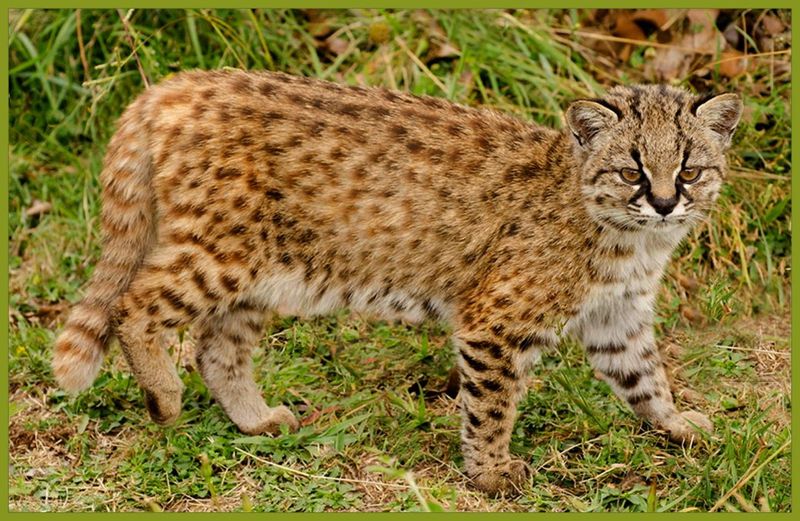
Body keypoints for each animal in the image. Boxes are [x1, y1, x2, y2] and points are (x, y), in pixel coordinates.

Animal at [51, 69, 744, 492]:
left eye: (688, 168)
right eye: (632, 170)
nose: (664, 203)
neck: (630, 237)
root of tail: (181, 80)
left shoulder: (616, 316)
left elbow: (645, 377)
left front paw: (676, 425)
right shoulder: (494, 321)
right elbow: (491, 407)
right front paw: (491, 475)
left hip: (263, 269)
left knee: (216, 347)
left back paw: (254, 421)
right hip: (222, 254)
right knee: (133, 305)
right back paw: (164, 399)